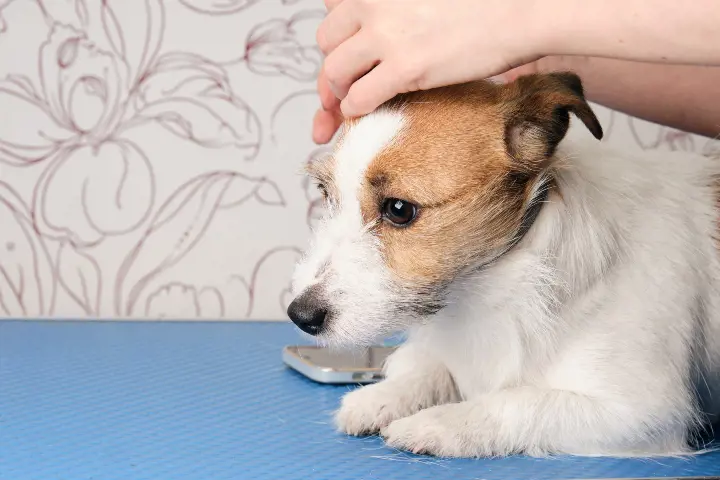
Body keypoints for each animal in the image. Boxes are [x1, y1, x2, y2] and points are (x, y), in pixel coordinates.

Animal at [286, 71, 720, 458]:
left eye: (398, 209)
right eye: (325, 193)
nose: (300, 315)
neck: (488, 285)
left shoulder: (643, 411)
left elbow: (518, 403)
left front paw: (438, 424)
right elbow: (434, 368)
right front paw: (381, 396)